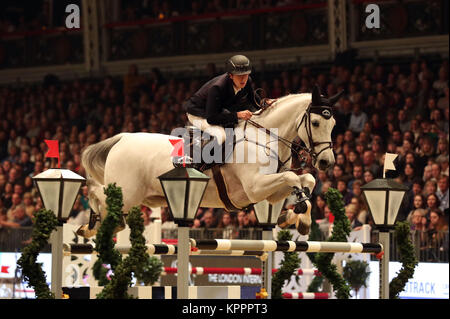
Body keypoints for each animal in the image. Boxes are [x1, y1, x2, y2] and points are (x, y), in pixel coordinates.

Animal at [79, 85, 342, 238]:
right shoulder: (255, 188)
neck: (265, 136)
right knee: (99, 194)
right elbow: (291, 176)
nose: (326, 162)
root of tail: (123, 138)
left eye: (334, 124)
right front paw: (298, 211)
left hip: (142, 197)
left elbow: (304, 179)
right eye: (316, 123)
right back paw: (89, 223)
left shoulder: (269, 193)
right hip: (128, 193)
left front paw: (298, 218)